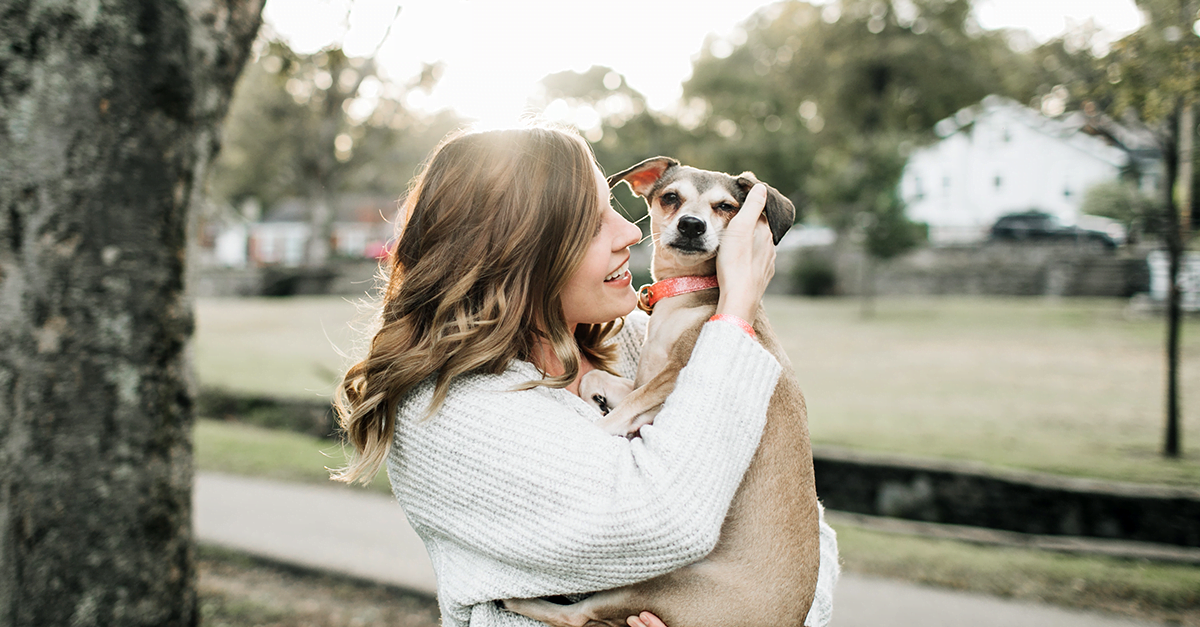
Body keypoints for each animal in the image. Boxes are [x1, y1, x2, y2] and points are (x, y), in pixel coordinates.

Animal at [499, 157, 825, 624]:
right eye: (671, 197)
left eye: (725, 207)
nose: (691, 225)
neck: (687, 294)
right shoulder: (646, 379)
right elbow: (601, 382)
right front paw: (593, 397)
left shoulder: (673, 377)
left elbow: (622, 414)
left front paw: (599, 428)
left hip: (659, 584)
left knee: (577, 615)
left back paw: (516, 600)